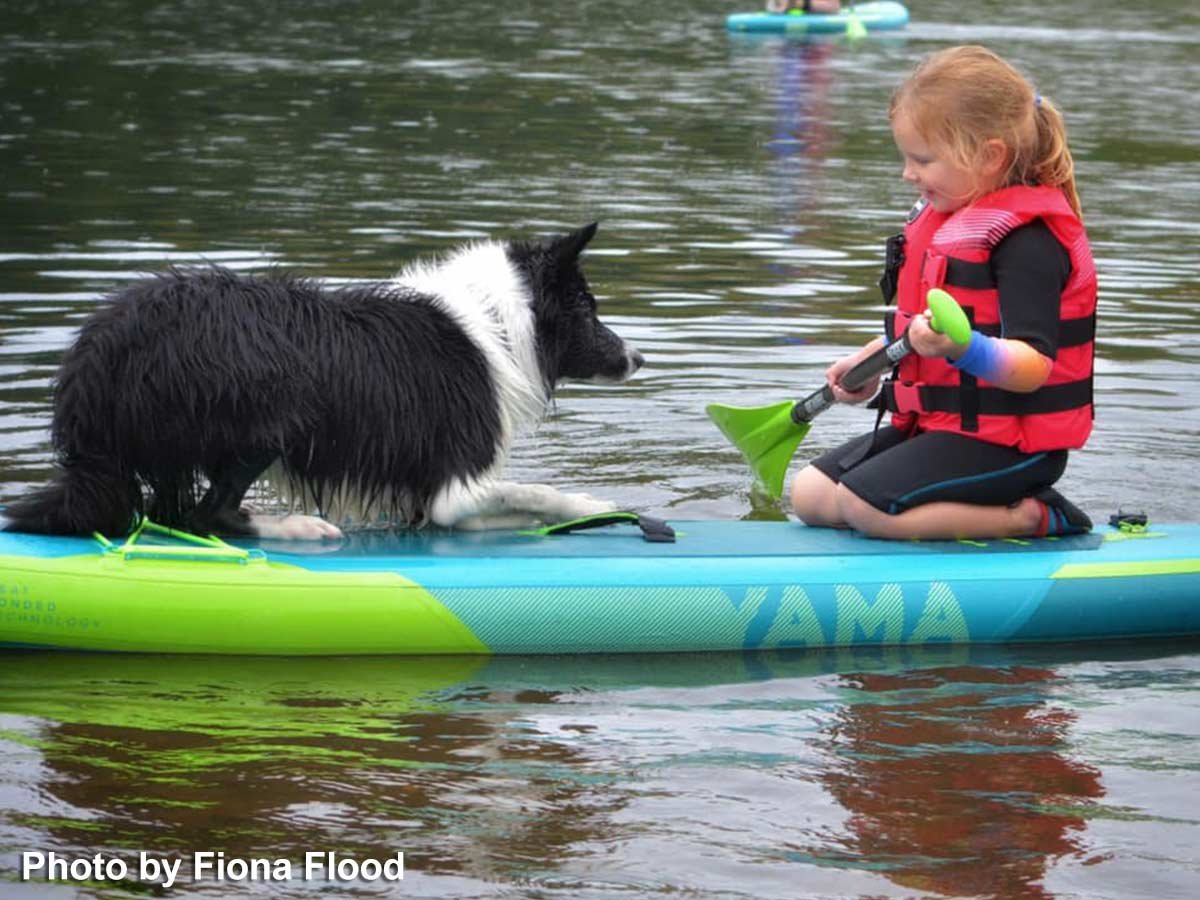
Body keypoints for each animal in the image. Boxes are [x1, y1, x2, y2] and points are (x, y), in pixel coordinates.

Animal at [4, 223, 643, 540]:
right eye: (588, 310)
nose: (637, 357)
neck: (500, 321)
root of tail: (99, 353)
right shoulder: (454, 482)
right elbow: (535, 491)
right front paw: (594, 504)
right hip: (270, 405)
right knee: (207, 516)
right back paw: (299, 526)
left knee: (172, 515)